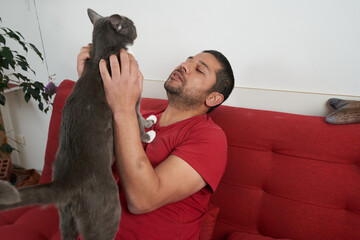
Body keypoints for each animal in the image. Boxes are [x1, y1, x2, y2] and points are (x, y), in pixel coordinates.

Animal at [0, 7, 155, 240]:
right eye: (132, 24)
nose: (137, 29)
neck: (103, 54)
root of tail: (66, 181)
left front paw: (152, 120)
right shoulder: (134, 97)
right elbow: (137, 119)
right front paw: (148, 132)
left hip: (66, 216)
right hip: (107, 210)